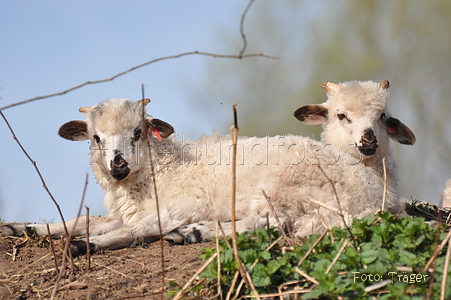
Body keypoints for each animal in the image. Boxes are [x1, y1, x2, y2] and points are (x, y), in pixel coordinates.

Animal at [0, 80, 416, 255]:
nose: (117, 165)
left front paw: (86, 245)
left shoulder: (174, 207)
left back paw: (193, 233)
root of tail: (378, 198)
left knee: (276, 225)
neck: (159, 171)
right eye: (96, 137)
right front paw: (24, 228)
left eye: (137, 132)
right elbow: (77, 220)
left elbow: (135, 231)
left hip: (288, 189)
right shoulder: (128, 210)